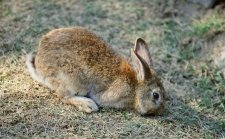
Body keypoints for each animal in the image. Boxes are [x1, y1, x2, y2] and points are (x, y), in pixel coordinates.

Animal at [25, 26, 167, 115]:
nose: (161, 111)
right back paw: (88, 105)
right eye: (156, 95)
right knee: (63, 96)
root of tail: (40, 67)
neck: (135, 88)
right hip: (72, 80)